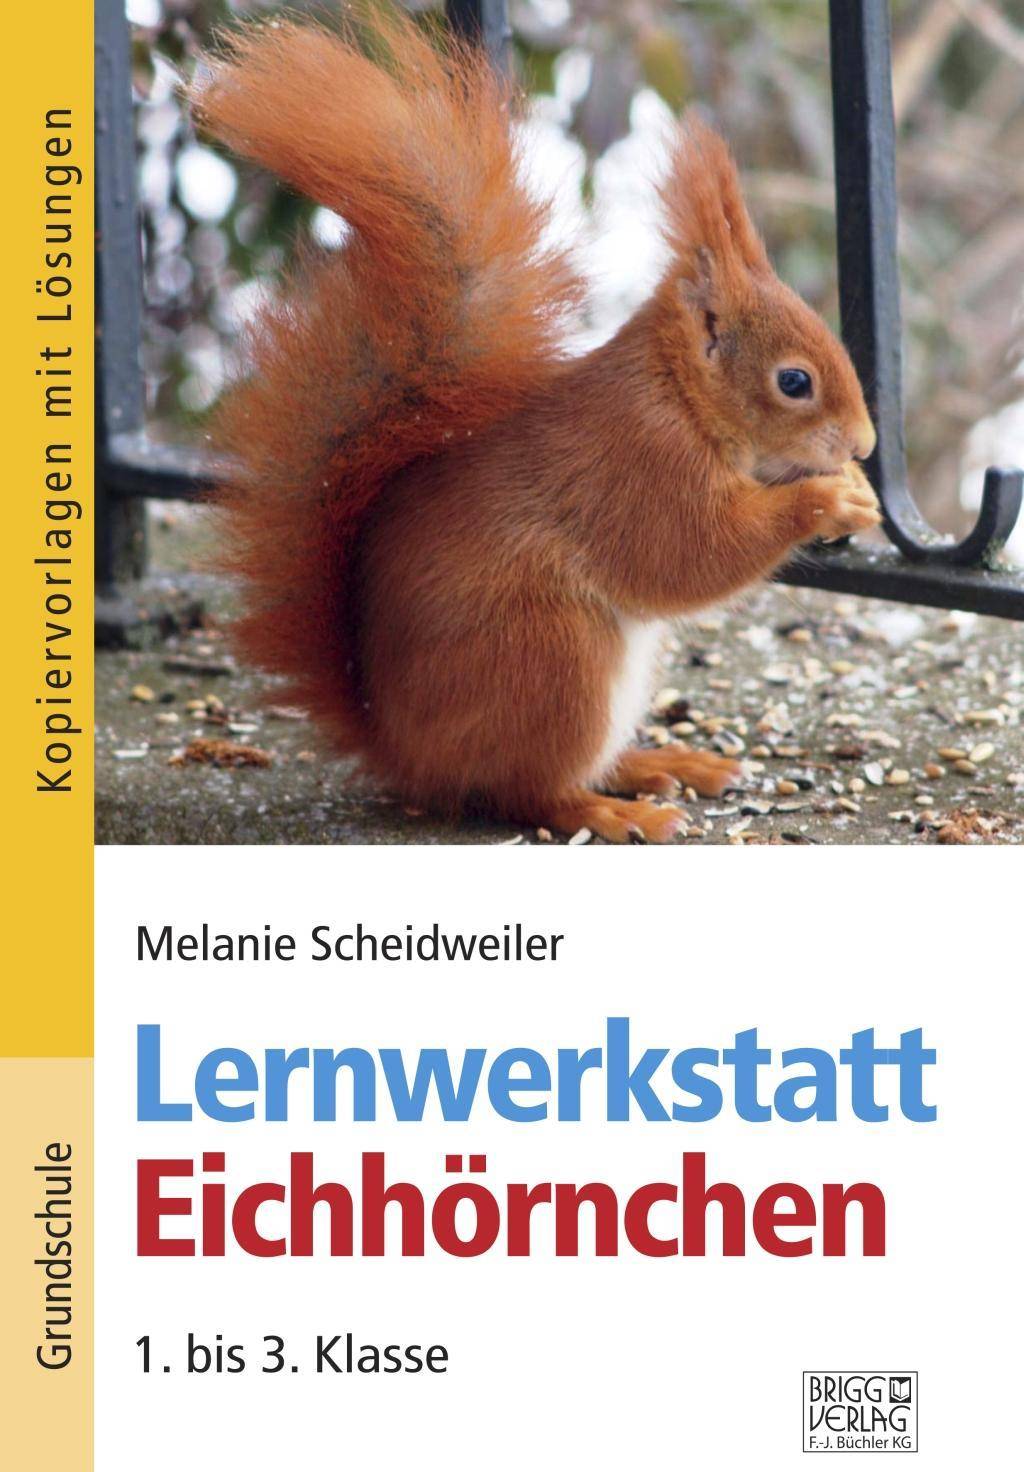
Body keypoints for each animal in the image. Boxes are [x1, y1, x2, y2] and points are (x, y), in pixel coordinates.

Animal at [192, 7, 880, 843]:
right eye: (794, 382)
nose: (864, 444)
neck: (680, 395)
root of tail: (403, 751)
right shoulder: (638, 466)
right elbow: (690, 556)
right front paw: (828, 501)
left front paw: (855, 487)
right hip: (551, 658)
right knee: (531, 792)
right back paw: (616, 812)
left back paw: (663, 763)